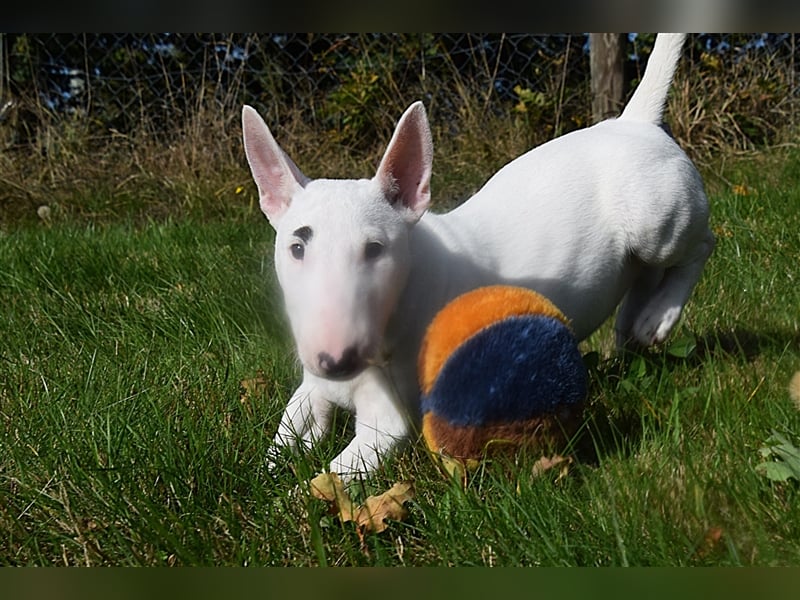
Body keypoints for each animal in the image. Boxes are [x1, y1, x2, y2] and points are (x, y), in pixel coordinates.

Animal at [241, 32, 716, 476]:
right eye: (297, 247)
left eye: (376, 250)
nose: (335, 360)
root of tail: (635, 120)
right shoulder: (312, 387)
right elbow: (287, 431)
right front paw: (265, 469)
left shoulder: (386, 423)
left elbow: (322, 482)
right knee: (643, 281)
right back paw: (634, 328)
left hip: (655, 222)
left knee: (700, 247)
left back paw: (660, 317)